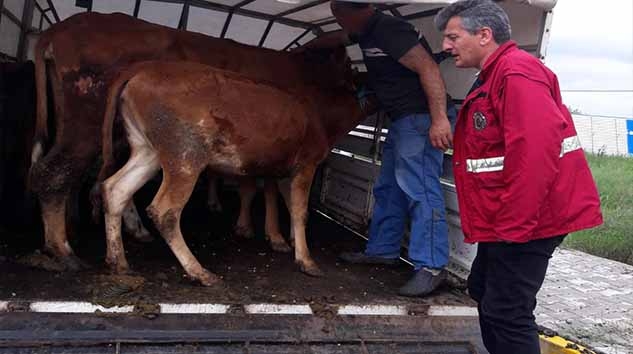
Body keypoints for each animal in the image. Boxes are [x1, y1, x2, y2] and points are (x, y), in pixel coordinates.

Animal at [97, 53, 366, 284]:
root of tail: (143, 68)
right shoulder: (307, 163)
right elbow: (300, 210)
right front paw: (306, 260)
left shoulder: (280, 168)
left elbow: (286, 204)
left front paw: (284, 240)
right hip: (185, 156)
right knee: (164, 210)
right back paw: (199, 271)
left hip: (147, 150)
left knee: (115, 189)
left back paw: (118, 261)